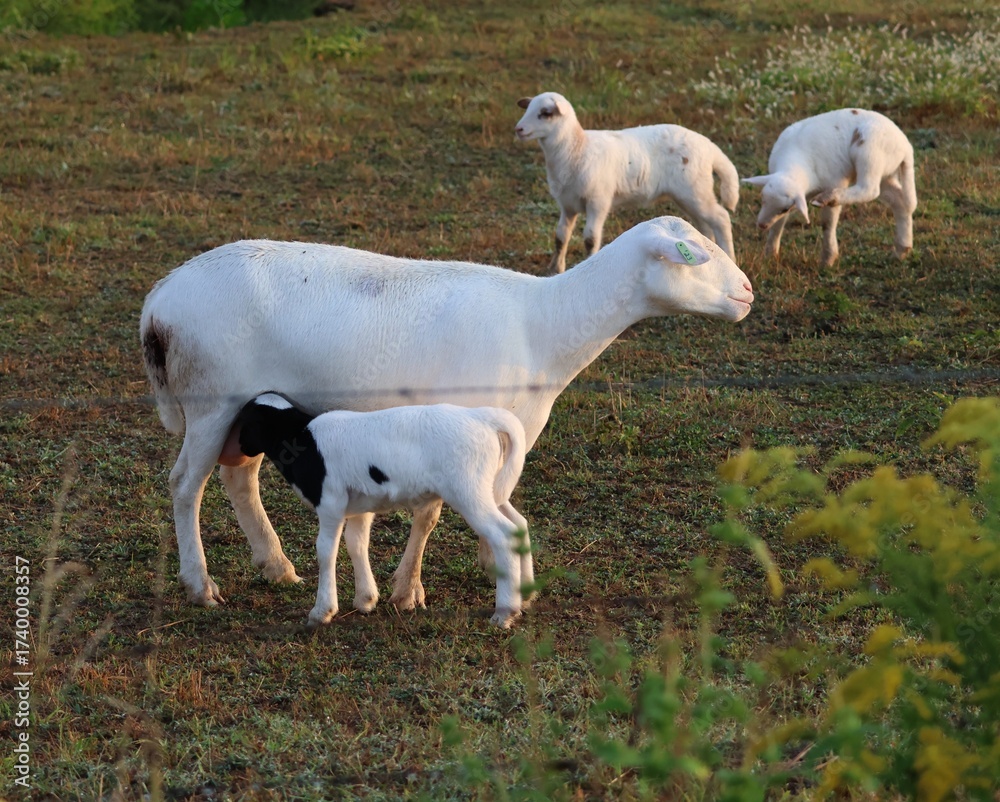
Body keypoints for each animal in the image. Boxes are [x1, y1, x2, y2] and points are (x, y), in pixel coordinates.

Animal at [233, 394, 532, 628]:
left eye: (245, 422)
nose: (238, 450)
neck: (302, 439)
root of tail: (483, 417)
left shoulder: (330, 502)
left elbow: (325, 551)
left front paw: (322, 611)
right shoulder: (360, 506)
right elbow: (357, 543)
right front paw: (365, 599)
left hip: (468, 491)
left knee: (503, 534)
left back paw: (505, 613)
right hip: (490, 488)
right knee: (519, 524)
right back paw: (525, 593)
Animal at [514, 91, 739, 273]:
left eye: (545, 113)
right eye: (528, 108)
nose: (519, 129)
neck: (576, 149)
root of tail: (709, 147)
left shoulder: (598, 200)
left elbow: (590, 239)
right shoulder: (567, 204)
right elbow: (560, 237)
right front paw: (555, 269)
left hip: (695, 190)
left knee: (721, 218)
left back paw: (730, 257)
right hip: (690, 195)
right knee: (704, 225)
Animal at [742, 108, 917, 267]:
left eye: (784, 208)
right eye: (762, 200)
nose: (761, 225)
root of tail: (906, 146)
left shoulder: (836, 181)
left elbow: (828, 223)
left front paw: (828, 259)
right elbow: (779, 223)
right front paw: (770, 255)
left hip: (870, 154)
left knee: (869, 189)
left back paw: (828, 198)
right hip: (887, 172)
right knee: (900, 202)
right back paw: (902, 250)